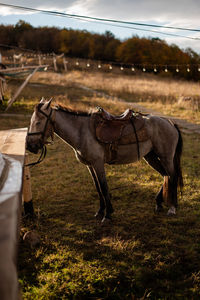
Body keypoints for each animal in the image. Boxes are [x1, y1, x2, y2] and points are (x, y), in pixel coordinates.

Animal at [26, 98, 183, 223]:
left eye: (38, 122)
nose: (30, 146)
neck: (82, 131)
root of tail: (170, 122)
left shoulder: (98, 164)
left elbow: (103, 187)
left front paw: (108, 214)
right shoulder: (90, 165)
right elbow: (97, 187)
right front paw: (101, 211)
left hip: (166, 158)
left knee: (172, 176)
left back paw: (172, 207)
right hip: (150, 157)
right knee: (165, 175)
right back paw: (159, 203)